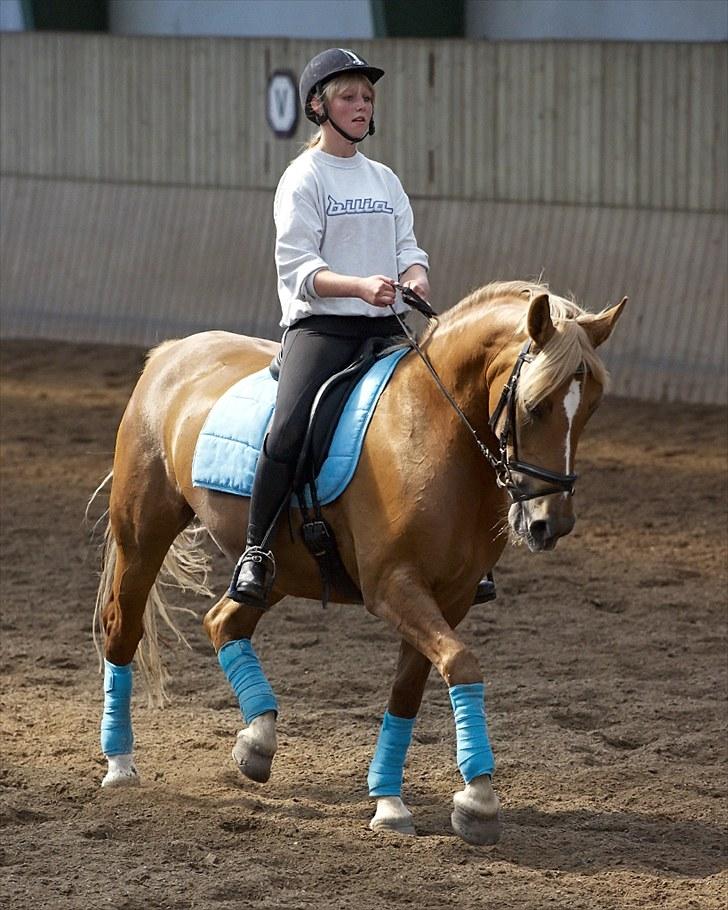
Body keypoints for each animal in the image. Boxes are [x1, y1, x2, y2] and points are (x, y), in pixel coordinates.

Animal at [91, 280, 624, 848]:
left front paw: (391, 801)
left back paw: (257, 742)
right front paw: (478, 800)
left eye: (590, 408)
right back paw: (120, 765)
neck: (434, 432)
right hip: (143, 537)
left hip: (282, 568)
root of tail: (171, 352)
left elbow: (410, 690)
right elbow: (462, 662)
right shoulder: (392, 587)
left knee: (224, 621)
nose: (551, 523)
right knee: (123, 630)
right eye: (534, 406)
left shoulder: (450, 598)